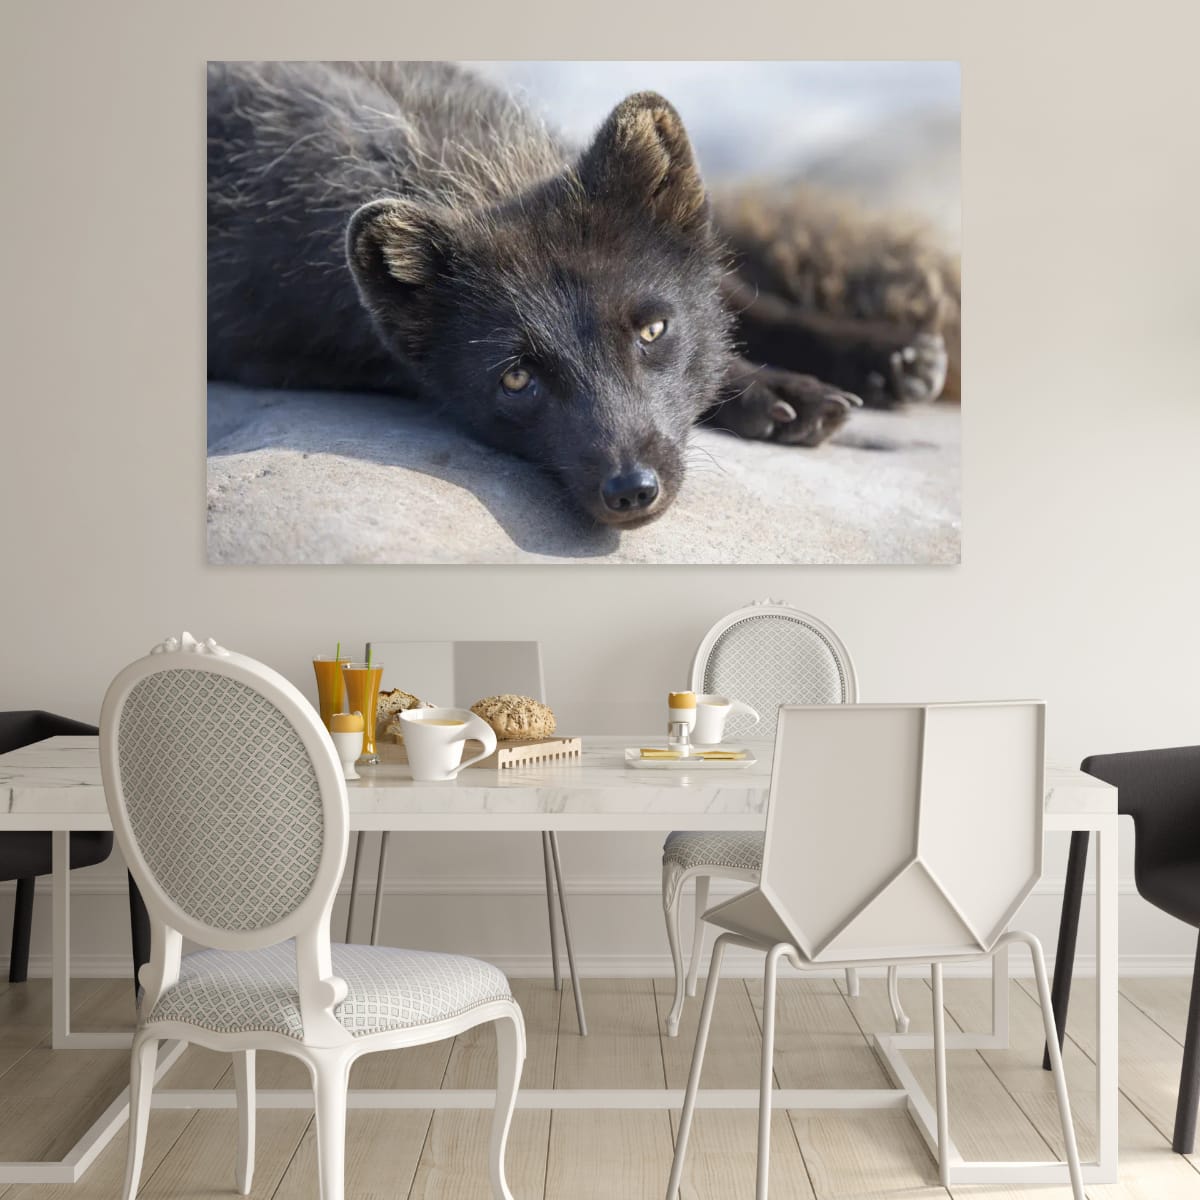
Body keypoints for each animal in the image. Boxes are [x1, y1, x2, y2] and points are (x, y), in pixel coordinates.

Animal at [207, 61, 956, 528]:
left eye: (652, 331)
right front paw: (776, 394)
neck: (465, 164)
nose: (631, 491)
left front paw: (885, 357)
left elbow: (740, 303)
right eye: (516, 379)